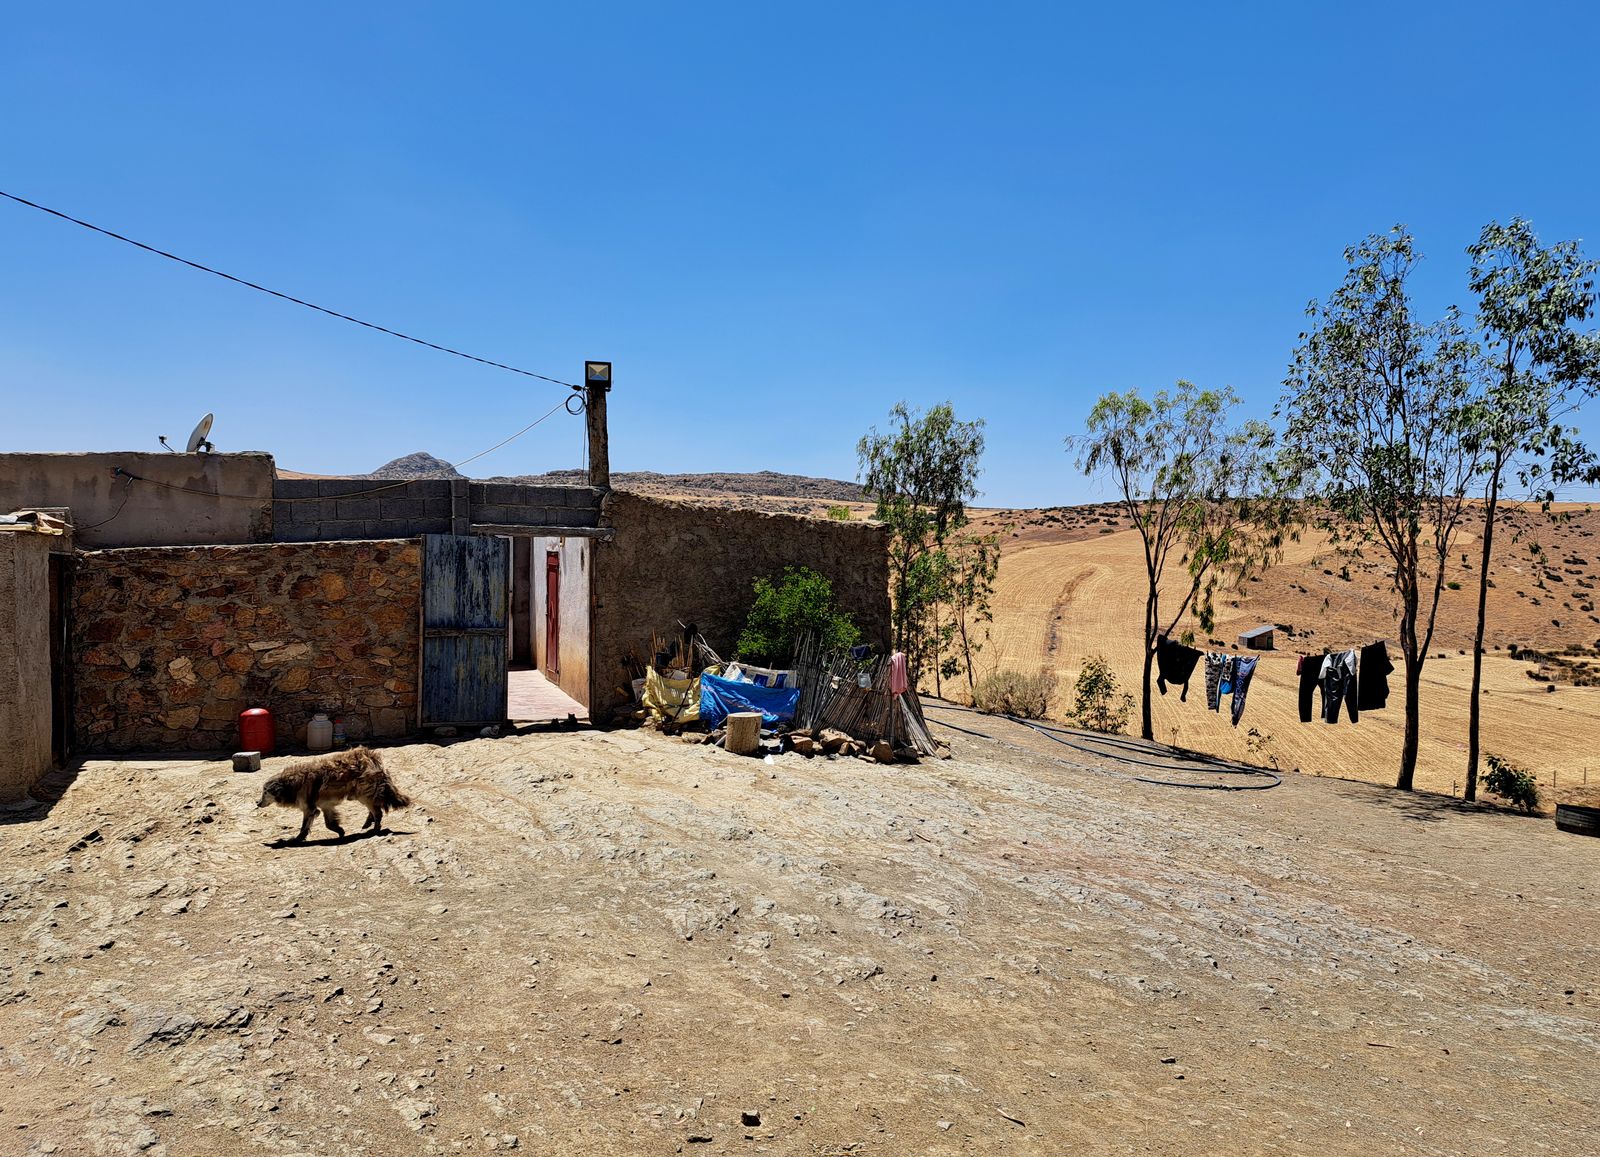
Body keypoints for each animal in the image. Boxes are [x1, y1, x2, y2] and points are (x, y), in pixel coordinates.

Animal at [256, 752, 412, 844]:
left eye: (265, 792)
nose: (257, 803)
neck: (290, 784)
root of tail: (369, 755)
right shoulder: (325, 807)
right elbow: (329, 824)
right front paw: (340, 831)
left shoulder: (309, 809)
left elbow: (304, 827)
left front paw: (297, 839)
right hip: (363, 795)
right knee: (374, 809)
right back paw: (368, 823)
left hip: (362, 795)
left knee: (378, 812)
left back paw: (375, 830)